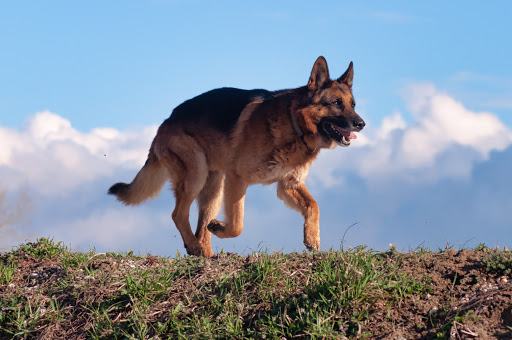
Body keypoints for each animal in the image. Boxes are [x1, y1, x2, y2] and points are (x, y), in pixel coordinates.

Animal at [109, 57, 364, 256]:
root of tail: (166, 122)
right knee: (178, 214)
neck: (295, 124)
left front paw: (312, 238)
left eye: (353, 104)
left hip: (213, 188)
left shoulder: (287, 185)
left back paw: (205, 256)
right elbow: (238, 224)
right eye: (336, 103)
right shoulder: (237, 179)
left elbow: (314, 205)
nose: (361, 124)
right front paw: (221, 228)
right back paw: (194, 246)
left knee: (200, 229)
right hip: (197, 175)